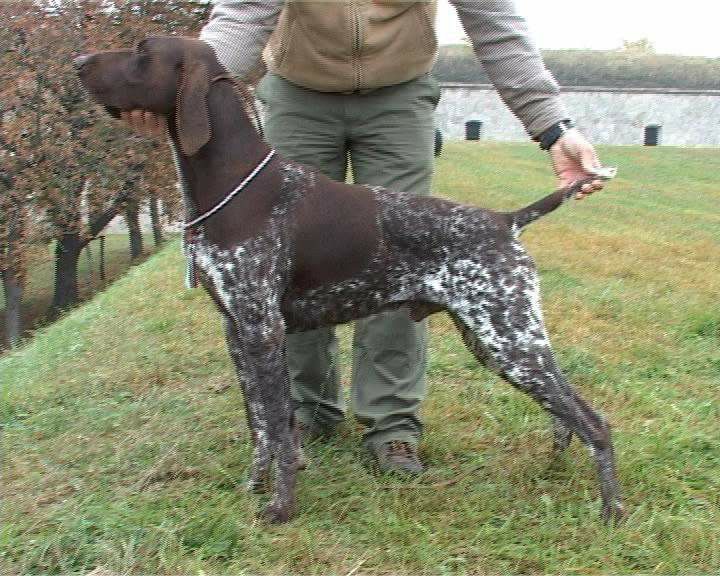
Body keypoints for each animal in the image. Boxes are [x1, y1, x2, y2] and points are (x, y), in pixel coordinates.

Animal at [74, 35, 624, 520]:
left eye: (142, 52)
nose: (78, 63)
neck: (232, 185)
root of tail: (505, 220)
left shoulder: (261, 330)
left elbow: (278, 427)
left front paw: (281, 508)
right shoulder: (236, 330)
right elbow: (258, 422)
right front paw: (253, 484)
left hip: (510, 339)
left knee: (594, 422)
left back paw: (611, 511)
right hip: (495, 342)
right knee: (564, 414)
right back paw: (554, 468)